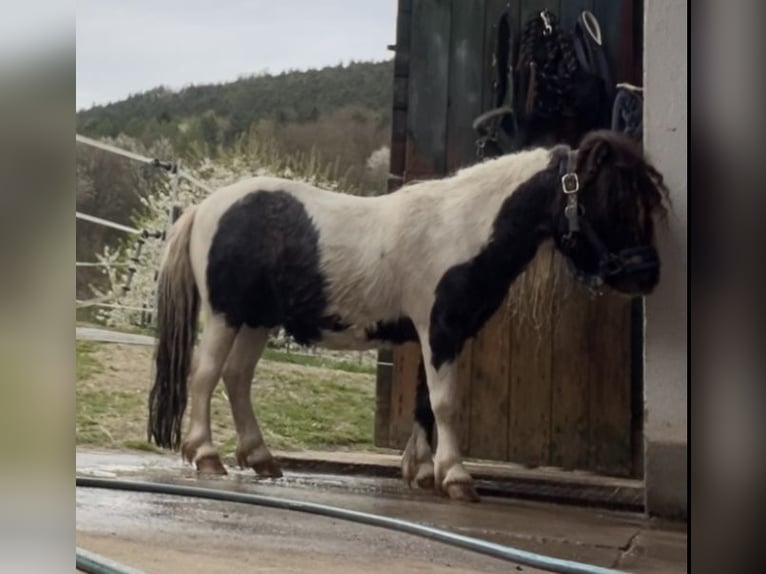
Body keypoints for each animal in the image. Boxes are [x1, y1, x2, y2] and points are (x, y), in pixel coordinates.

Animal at [147, 132, 668, 504]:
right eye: (616, 200)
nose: (646, 275)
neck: (462, 227)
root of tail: (205, 207)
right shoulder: (441, 332)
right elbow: (446, 403)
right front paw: (455, 476)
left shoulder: (434, 336)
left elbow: (423, 403)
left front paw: (420, 472)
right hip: (225, 315)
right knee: (205, 374)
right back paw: (206, 455)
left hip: (256, 321)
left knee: (236, 378)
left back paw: (260, 458)